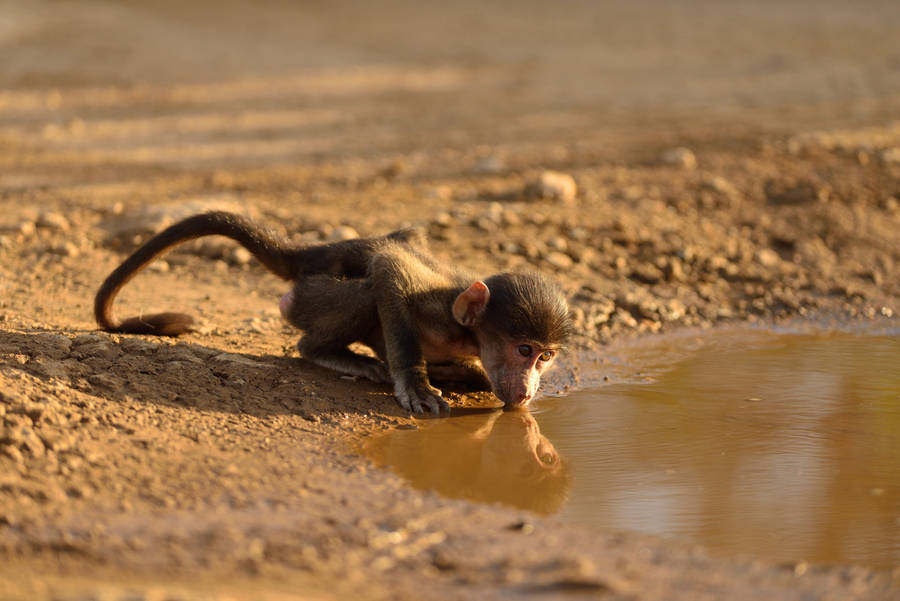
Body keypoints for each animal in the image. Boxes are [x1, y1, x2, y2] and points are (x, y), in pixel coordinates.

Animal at [95, 211, 572, 412]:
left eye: (545, 357)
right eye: (523, 350)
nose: (528, 390)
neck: (467, 335)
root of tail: (315, 253)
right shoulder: (439, 308)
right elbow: (389, 271)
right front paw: (416, 385)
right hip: (311, 298)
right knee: (360, 295)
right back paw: (329, 352)